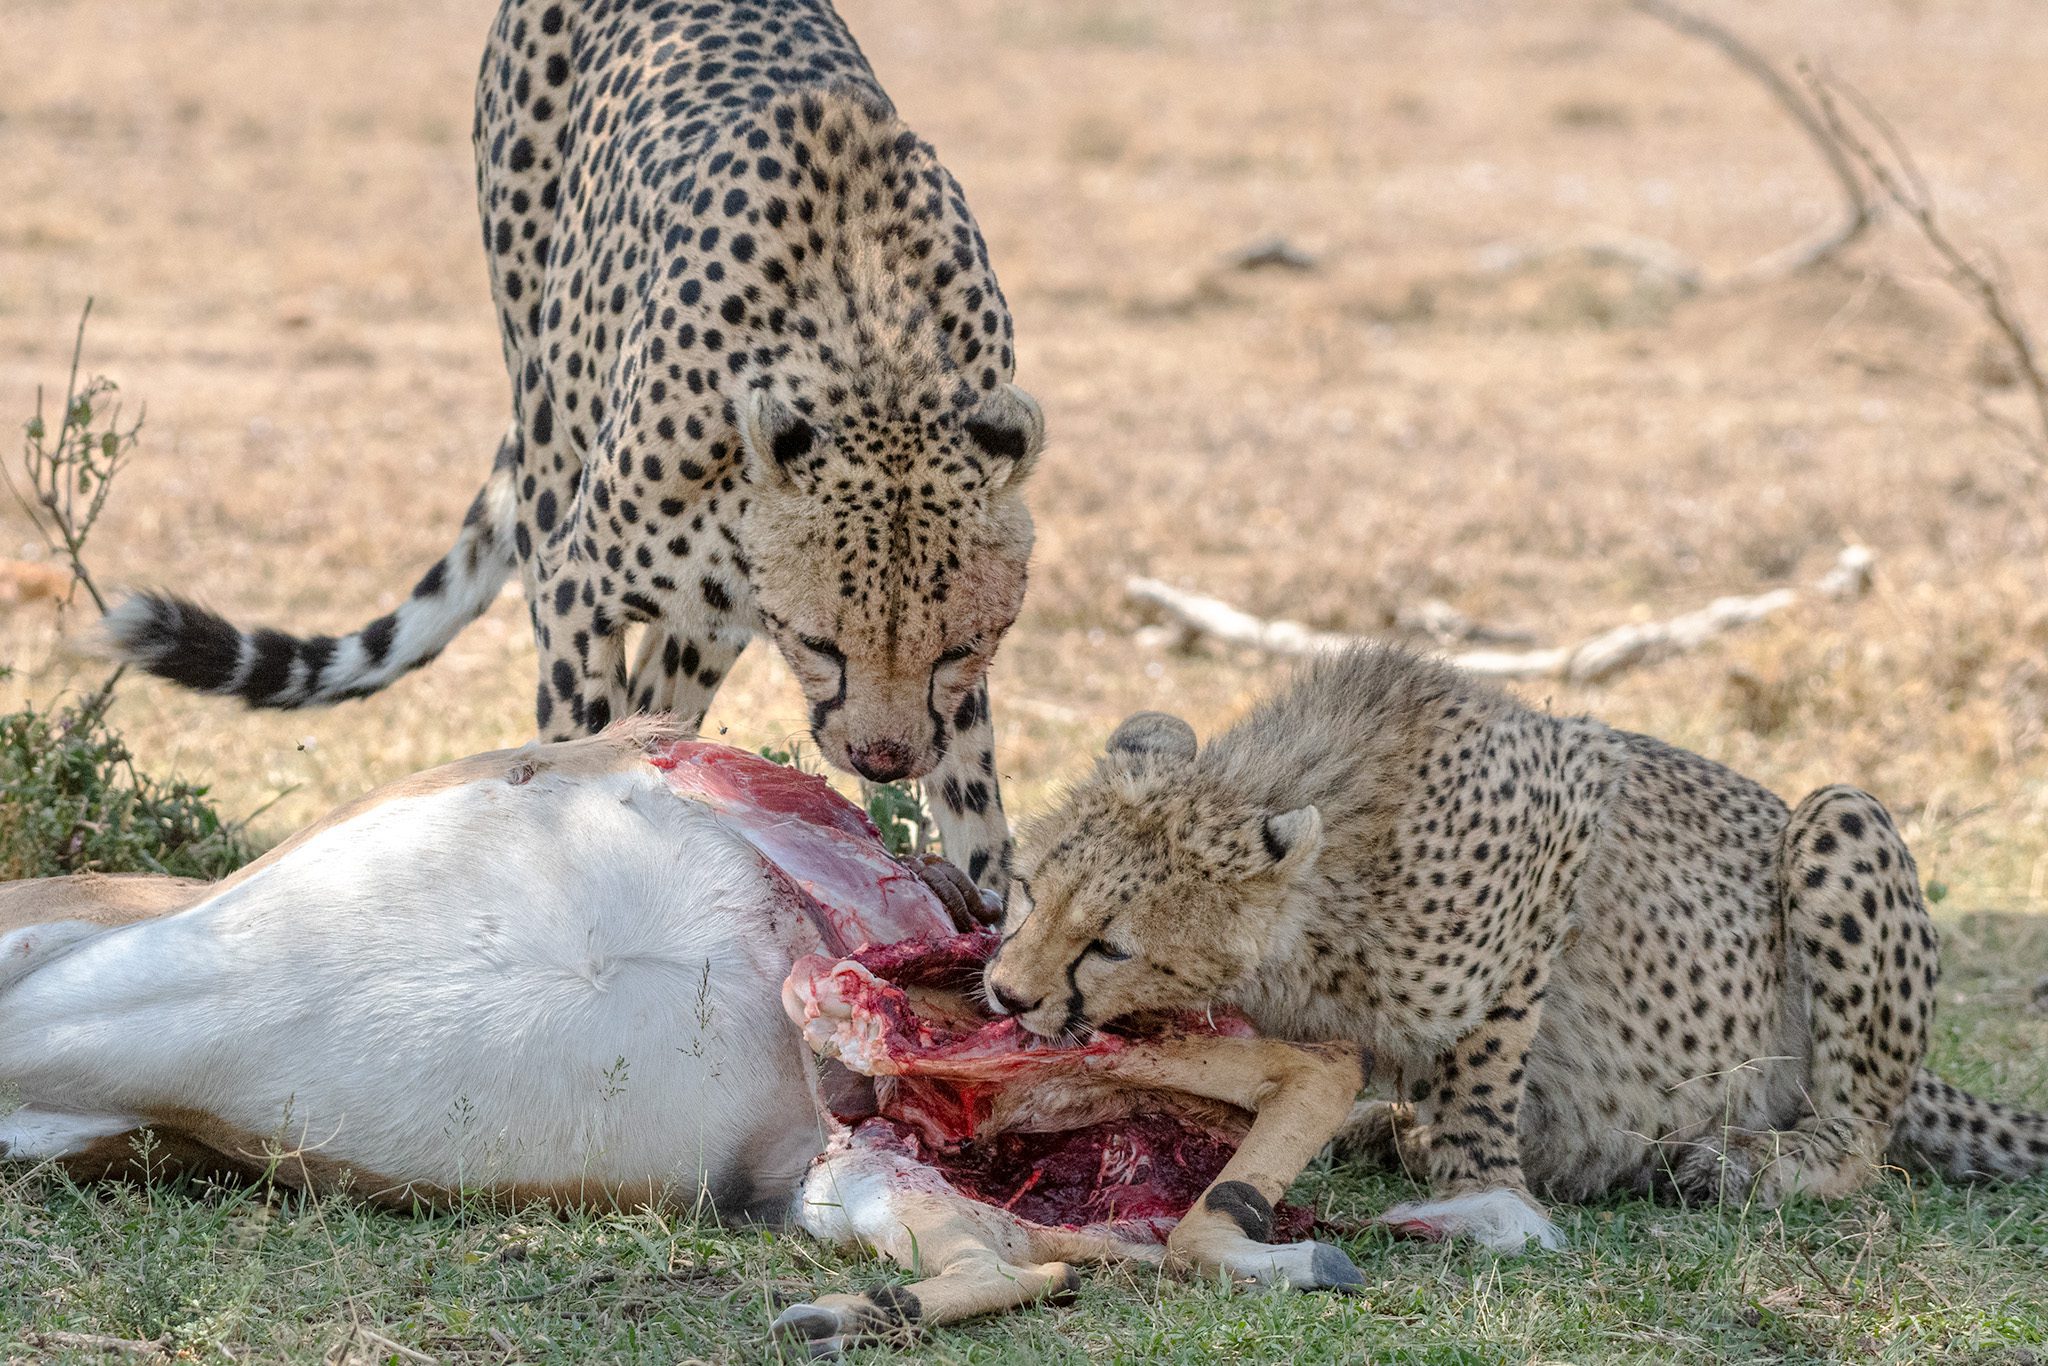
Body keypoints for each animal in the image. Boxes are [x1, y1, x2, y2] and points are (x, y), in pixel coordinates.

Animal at [108, 0, 1040, 892]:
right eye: (821, 646)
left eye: (960, 648)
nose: (881, 760)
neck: (883, 352)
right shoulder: (573, 584)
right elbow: (577, 745)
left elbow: (976, 805)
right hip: (545, 409)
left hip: (701, 614)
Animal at [983, 643, 2039, 1253]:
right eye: (1029, 891)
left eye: (1109, 946)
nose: (1004, 993)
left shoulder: (1564, 818)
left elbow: (1486, 1054)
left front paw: (1482, 1186)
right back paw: (1384, 1126)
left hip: (1837, 816)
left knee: (1863, 1134)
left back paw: (1754, 1162)